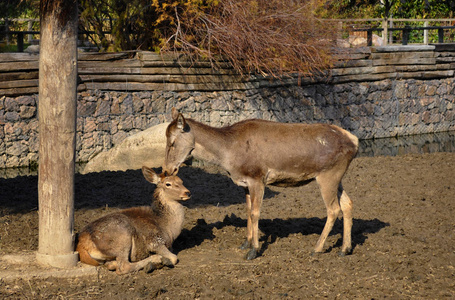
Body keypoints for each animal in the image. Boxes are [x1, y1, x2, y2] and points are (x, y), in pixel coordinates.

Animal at [164, 108, 360, 260]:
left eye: (172, 142)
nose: (167, 170)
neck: (228, 155)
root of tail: (355, 141)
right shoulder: (245, 183)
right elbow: (248, 211)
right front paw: (246, 243)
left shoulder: (257, 177)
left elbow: (255, 213)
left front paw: (253, 250)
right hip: (337, 177)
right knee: (348, 203)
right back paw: (345, 249)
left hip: (328, 175)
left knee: (333, 209)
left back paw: (316, 249)